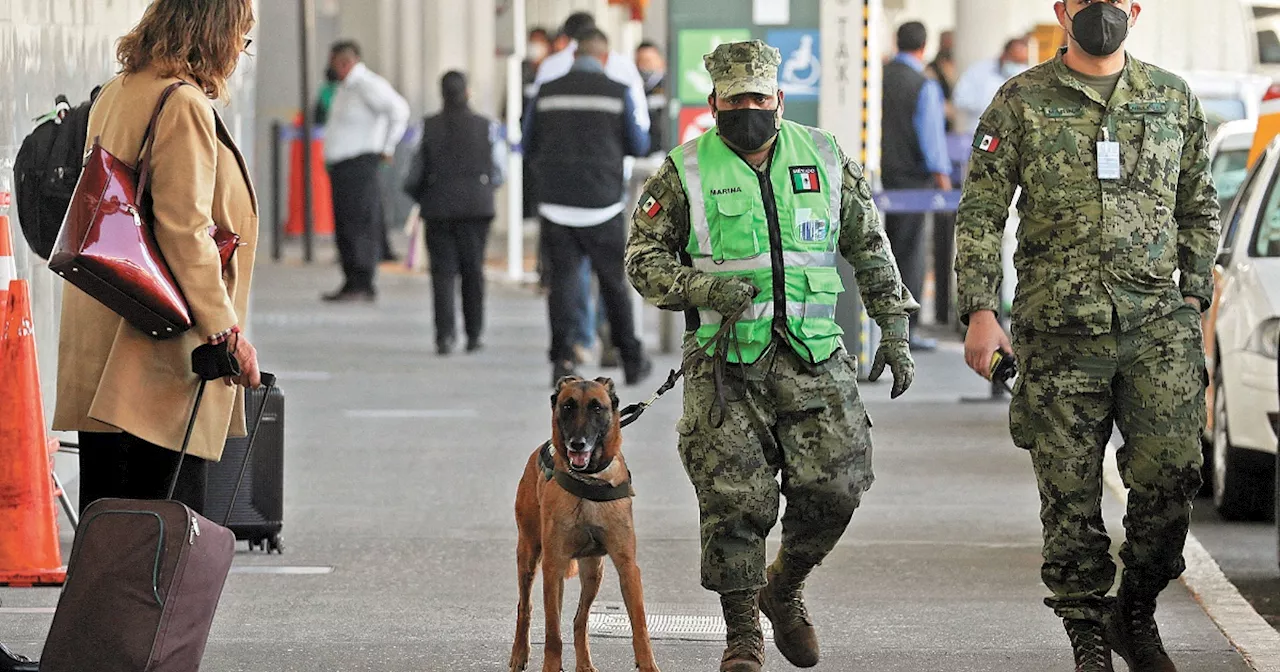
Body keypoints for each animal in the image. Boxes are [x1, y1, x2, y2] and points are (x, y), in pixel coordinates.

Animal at [504, 376, 660, 670]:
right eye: (568, 406)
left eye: (597, 407)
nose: (578, 444)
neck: (590, 479)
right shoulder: (553, 566)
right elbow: (553, 633)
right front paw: (551, 667)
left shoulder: (627, 567)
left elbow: (640, 625)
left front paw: (648, 664)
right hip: (529, 555)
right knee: (526, 607)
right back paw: (519, 653)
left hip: (594, 571)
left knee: (581, 619)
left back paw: (584, 664)